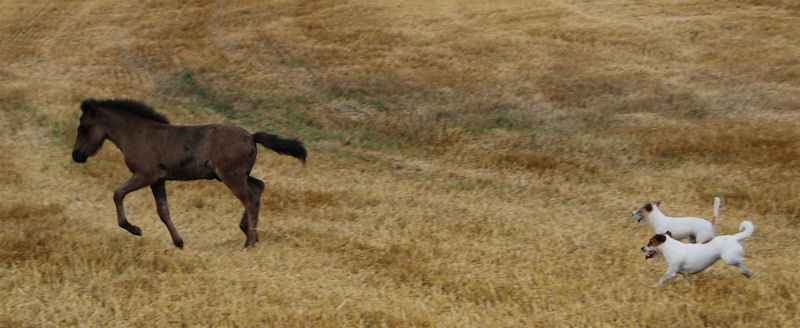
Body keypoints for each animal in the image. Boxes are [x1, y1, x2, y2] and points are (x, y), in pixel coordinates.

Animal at [72, 98, 306, 247]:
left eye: (84, 127)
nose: (76, 155)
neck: (139, 134)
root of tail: (251, 136)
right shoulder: (158, 180)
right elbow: (163, 211)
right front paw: (178, 242)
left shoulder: (145, 175)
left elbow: (117, 193)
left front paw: (135, 229)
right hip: (236, 175)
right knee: (258, 188)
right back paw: (248, 231)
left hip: (231, 175)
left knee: (249, 198)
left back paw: (249, 241)